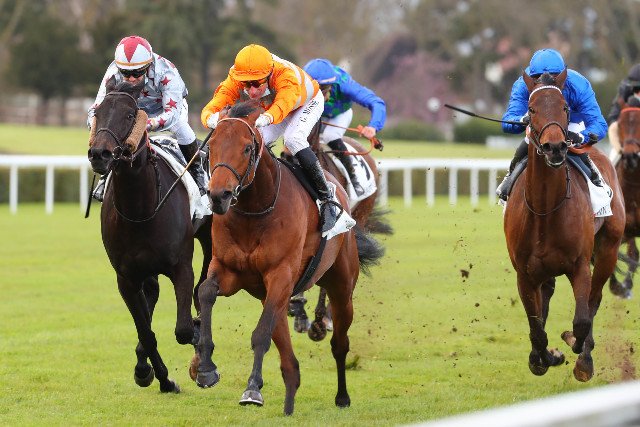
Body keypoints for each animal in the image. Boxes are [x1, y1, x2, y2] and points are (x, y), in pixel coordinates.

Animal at [87, 77, 212, 393]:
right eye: (97, 112)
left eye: (130, 115)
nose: (99, 154)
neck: (140, 209)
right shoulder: (126, 278)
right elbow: (146, 331)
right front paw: (158, 376)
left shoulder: (181, 267)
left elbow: (183, 329)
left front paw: (196, 342)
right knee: (153, 295)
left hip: (210, 236)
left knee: (202, 286)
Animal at [191, 101, 384, 415]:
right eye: (211, 146)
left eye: (247, 148)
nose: (219, 195)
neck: (255, 210)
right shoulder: (229, 270)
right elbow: (206, 292)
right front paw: (206, 367)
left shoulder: (280, 275)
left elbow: (260, 334)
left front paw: (252, 389)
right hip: (274, 296)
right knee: (288, 357)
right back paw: (290, 398)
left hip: (341, 287)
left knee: (339, 343)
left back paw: (341, 395)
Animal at [503, 70, 625, 381]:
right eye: (531, 109)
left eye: (565, 107)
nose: (556, 146)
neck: (546, 209)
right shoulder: (524, 273)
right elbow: (536, 328)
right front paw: (543, 357)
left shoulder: (579, 265)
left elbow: (581, 320)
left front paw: (578, 352)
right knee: (545, 297)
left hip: (608, 248)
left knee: (594, 299)